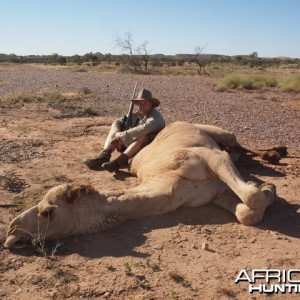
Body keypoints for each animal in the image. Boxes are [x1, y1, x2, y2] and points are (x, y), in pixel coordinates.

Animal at [3, 121, 288, 248]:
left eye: (48, 212)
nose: (11, 232)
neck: (170, 185)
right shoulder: (215, 193)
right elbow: (247, 213)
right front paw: (267, 190)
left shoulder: (208, 157)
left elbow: (250, 198)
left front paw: (266, 188)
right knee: (237, 151)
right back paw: (269, 156)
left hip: (218, 132)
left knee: (235, 143)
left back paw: (276, 152)